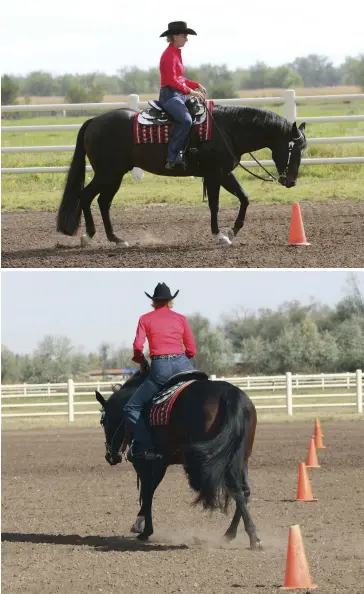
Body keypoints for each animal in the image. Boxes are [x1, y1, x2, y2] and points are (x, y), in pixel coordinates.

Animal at [57, 104, 308, 245]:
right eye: (294, 148)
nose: (291, 181)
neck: (227, 129)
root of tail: (93, 121)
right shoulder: (214, 174)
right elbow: (215, 205)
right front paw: (219, 235)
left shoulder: (224, 173)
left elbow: (244, 198)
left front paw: (232, 231)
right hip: (107, 173)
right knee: (86, 197)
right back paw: (89, 236)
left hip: (113, 175)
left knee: (102, 202)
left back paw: (115, 239)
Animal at [95, 370, 260, 544]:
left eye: (103, 421)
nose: (110, 456)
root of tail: (229, 394)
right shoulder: (161, 463)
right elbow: (150, 490)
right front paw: (142, 525)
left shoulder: (144, 463)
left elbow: (147, 492)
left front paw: (143, 529)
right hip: (240, 457)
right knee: (245, 490)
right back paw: (231, 533)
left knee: (236, 489)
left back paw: (251, 536)